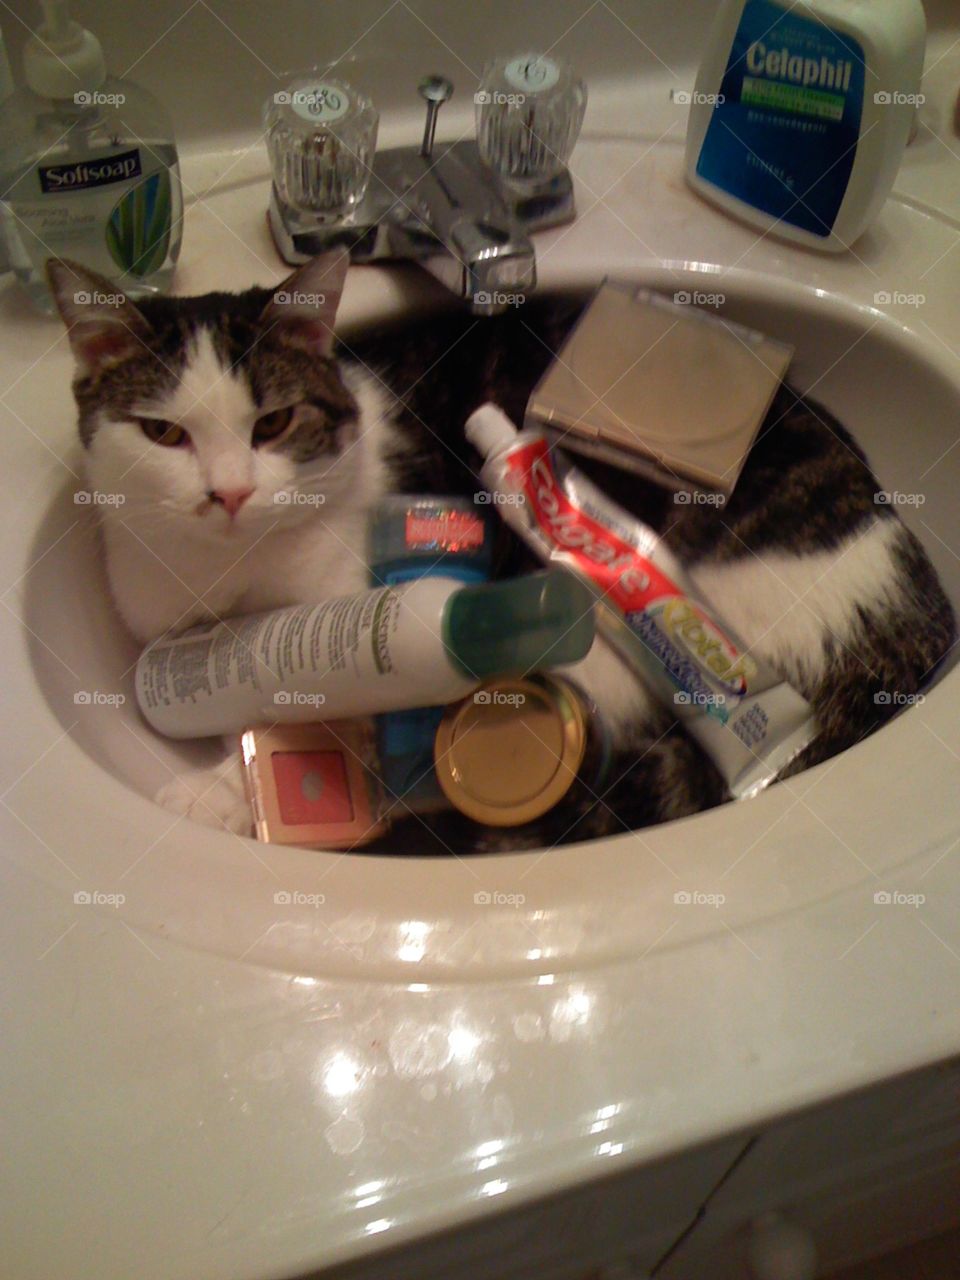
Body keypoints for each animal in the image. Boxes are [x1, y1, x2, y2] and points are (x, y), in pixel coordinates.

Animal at [48, 248, 957, 849]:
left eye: (272, 423)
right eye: (163, 434)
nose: (228, 493)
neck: (228, 574)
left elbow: (310, 702)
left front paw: (217, 790)